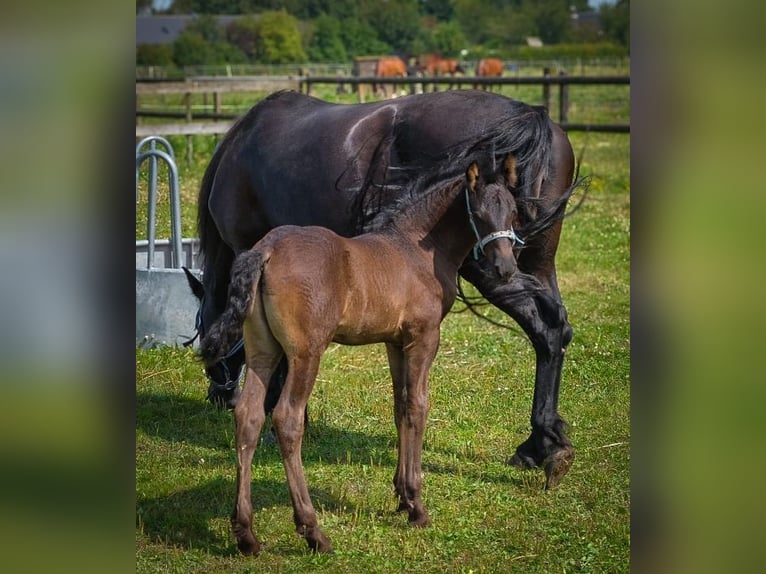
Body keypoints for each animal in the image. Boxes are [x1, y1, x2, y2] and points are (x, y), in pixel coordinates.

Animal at [188, 89, 584, 490]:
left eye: (199, 330)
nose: (218, 396)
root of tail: (531, 116)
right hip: (533, 264)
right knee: (555, 330)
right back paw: (543, 445)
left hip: (494, 268)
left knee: (545, 327)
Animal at [201, 160, 528, 556]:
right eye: (477, 214)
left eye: (513, 212)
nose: (505, 270)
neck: (416, 249)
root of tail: (267, 249)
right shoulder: (424, 337)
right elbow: (418, 405)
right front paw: (416, 505)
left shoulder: (395, 342)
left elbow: (399, 405)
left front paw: (401, 495)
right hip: (306, 353)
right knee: (287, 419)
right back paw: (313, 531)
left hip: (264, 351)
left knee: (248, 416)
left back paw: (246, 534)